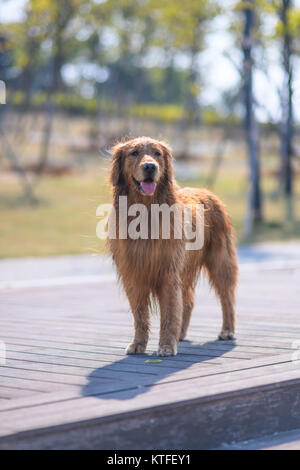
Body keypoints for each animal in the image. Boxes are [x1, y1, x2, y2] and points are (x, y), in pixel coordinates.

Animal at [109, 136, 238, 356]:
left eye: (157, 153)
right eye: (134, 153)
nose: (150, 166)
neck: (146, 212)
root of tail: (208, 192)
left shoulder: (168, 272)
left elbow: (169, 312)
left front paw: (167, 345)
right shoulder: (134, 274)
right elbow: (140, 314)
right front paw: (138, 343)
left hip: (220, 262)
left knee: (226, 296)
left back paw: (227, 330)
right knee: (188, 302)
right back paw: (181, 334)